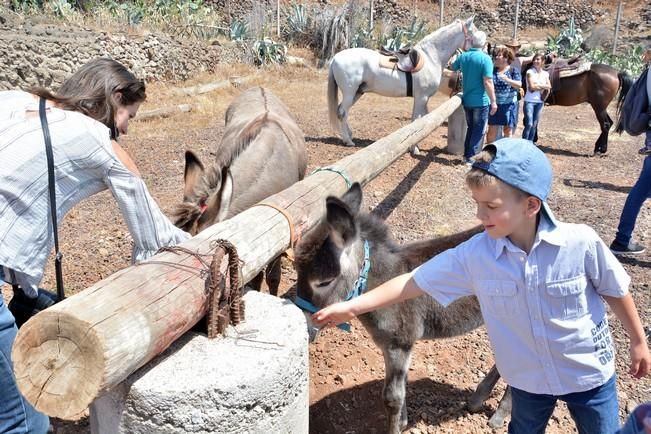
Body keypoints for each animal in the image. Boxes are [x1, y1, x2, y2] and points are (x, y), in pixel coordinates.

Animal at [328, 16, 476, 153]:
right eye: (473, 31)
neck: (431, 57)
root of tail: (335, 58)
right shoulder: (421, 97)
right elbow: (416, 121)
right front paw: (414, 148)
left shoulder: (424, 99)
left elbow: (422, 120)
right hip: (349, 92)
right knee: (342, 112)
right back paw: (348, 141)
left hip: (358, 92)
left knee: (342, 110)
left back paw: (348, 135)